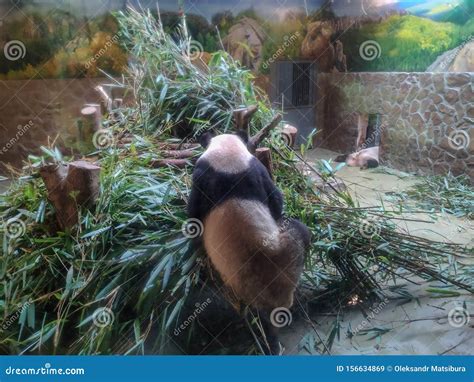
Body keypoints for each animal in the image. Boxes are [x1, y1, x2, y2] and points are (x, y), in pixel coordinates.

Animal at [189, 131, 312, 352]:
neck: (228, 159)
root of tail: (276, 300)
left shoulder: (244, 170)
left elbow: (275, 201)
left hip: (287, 248)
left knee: (300, 230)